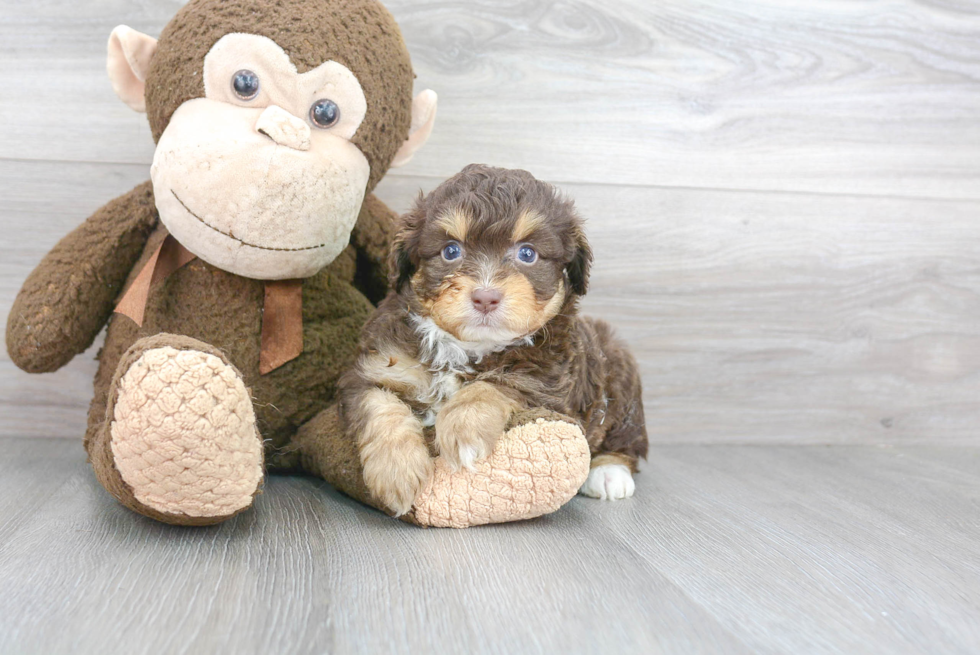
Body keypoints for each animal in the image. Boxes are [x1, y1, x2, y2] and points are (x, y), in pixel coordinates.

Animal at [340, 165, 648, 516]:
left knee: (626, 439)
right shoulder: (373, 368)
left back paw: (610, 472)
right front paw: (396, 470)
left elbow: (492, 385)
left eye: (528, 253)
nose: (485, 298)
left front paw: (464, 430)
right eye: (451, 251)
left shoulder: (547, 385)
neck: (468, 347)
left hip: (621, 379)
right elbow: (380, 405)